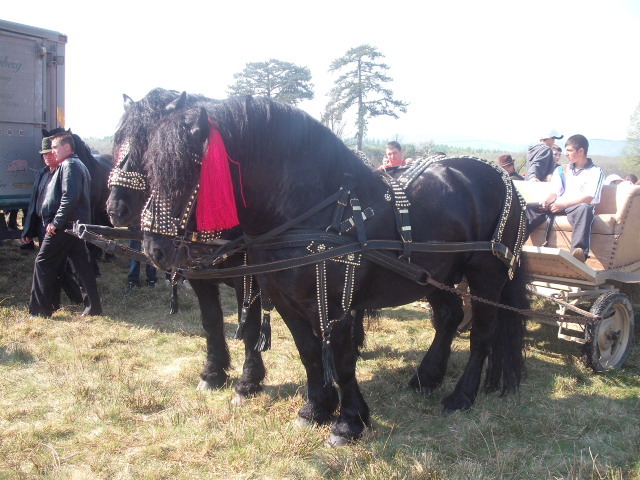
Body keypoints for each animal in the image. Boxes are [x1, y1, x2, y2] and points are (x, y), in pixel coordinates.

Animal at [106, 89, 266, 398]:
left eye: (148, 145)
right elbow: (211, 321)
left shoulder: (247, 279)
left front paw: (248, 381)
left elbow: (251, 326)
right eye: (118, 139)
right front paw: (213, 373)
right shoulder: (200, 277)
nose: (114, 208)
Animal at [142, 95, 528, 444]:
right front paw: (315, 410)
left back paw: (461, 396)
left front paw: (349, 422)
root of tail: (505, 180)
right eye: (150, 170)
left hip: (486, 274)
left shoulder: (335, 305)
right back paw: (426, 377)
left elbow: (341, 361)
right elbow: (310, 354)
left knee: (482, 333)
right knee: (448, 318)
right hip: (437, 276)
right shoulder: (287, 302)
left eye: (189, 169)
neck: (313, 210)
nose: (154, 249)